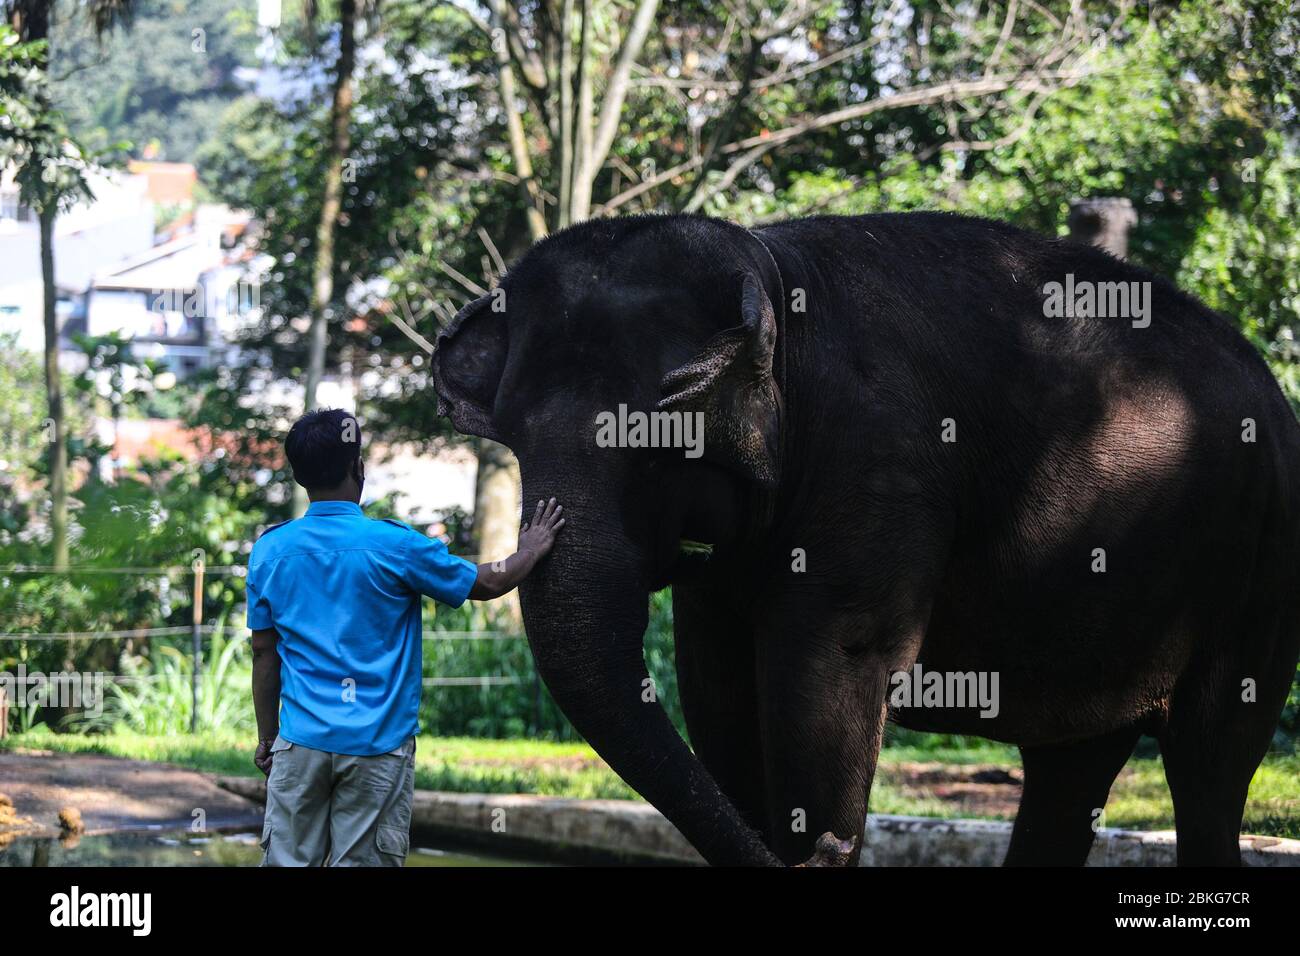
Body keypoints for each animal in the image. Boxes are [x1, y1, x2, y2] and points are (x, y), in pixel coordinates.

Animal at [434, 210, 1300, 868]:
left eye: (658, 442)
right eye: (513, 435)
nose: (823, 853)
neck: (769, 267)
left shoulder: (878, 464)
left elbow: (825, 680)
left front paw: (818, 833)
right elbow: (717, 686)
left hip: (1261, 570)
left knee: (1211, 758)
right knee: (1070, 769)